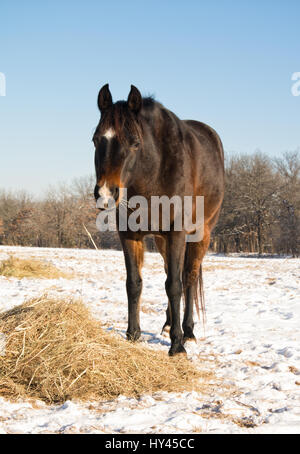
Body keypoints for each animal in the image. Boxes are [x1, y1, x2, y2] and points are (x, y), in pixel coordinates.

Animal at [92, 85, 224, 354]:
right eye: (96, 140)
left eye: (134, 143)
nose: (105, 194)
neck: (153, 173)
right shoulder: (130, 235)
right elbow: (134, 283)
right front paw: (132, 334)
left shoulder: (177, 233)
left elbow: (174, 285)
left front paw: (177, 345)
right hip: (163, 242)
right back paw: (169, 323)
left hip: (201, 234)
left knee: (188, 279)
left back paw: (188, 332)